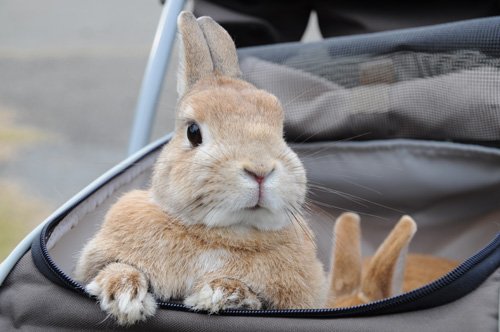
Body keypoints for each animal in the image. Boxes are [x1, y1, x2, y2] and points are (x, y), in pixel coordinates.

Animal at [72, 11, 326, 326]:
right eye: (193, 132)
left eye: (281, 132)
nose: (260, 170)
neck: (221, 235)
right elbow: (113, 268)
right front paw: (125, 296)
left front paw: (221, 293)